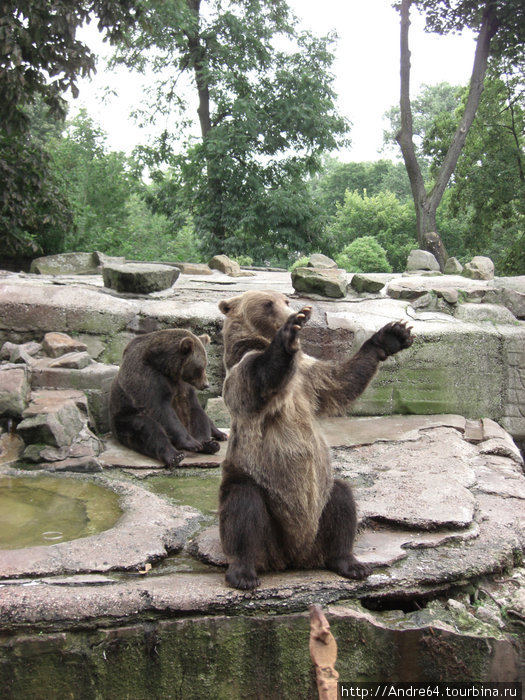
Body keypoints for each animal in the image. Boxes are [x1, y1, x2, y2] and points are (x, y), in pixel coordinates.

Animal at [109, 330, 226, 468]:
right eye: (200, 367)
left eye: (205, 365)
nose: (206, 384)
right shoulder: (147, 377)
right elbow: (161, 410)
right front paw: (193, 443)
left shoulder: (184, 386)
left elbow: (195, 410)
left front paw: (207, 443)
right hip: (125, 418)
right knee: (148, 429)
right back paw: (175, 456)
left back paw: (220, 436)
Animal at [217, 290, 414, 592]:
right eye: (267, 304)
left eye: (285, 300)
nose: (292, 313)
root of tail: (293, 556)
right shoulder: (244, 372)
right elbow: (261, 377)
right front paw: (288, 335)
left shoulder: (308, 377)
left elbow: (338, 381)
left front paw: (392, 334)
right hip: (259, 491)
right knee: (243, 509)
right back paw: (243, 573)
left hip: (321, 499)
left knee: (341, 501)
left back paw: (350, 563)